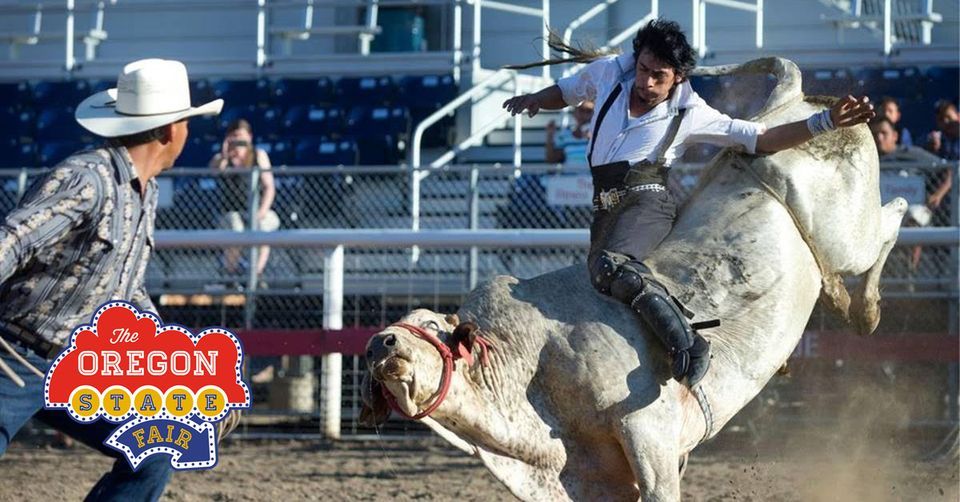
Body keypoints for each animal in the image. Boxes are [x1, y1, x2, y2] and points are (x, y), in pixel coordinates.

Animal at [360, 57, 908, 498]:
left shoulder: (649, 433)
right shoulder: (593, 476)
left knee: (891, 217)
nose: (379, 342)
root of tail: (787, 103)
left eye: (431, 326)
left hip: (848, 234)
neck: (532, 365)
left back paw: (862, 306)